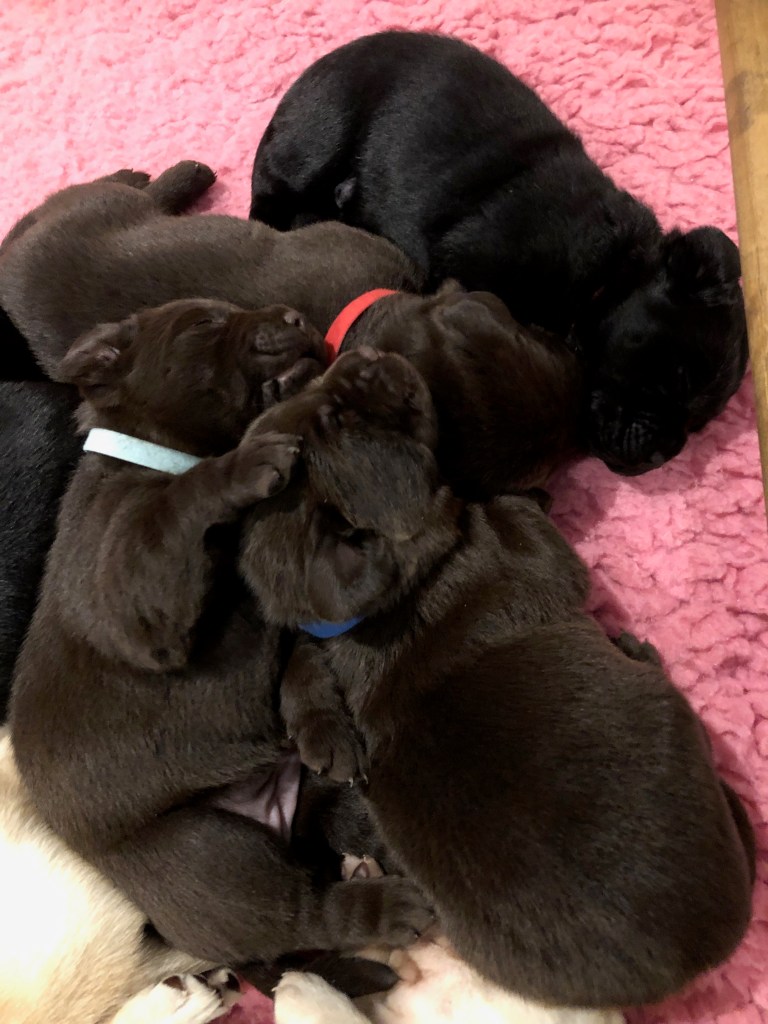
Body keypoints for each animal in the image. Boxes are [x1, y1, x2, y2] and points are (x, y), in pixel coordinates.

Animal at [9, 300, 432, 993]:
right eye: (203, 323)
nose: (295, 315)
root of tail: (274, 817)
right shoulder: (131, 591)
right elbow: (174, 510)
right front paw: (243, 464)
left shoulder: (283, 609)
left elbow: (297, 666)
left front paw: (323, 729)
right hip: (206, 856)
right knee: (302, 911)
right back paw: (387, 910)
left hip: (316, 806)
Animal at [237, 348, 755, 1008]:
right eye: (347, 420)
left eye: (316, 406)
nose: (363, 355)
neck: (402, 593)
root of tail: (701, 954)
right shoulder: (530, 546)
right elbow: (527, 522)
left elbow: (302, 660)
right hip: (669, 713)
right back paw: (636, 648)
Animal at [249, 30, 749, 475]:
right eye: (678, 377)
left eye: (702, 422)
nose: (660, 458)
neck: (609, 270)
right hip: (318, 135)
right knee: (272, 196)